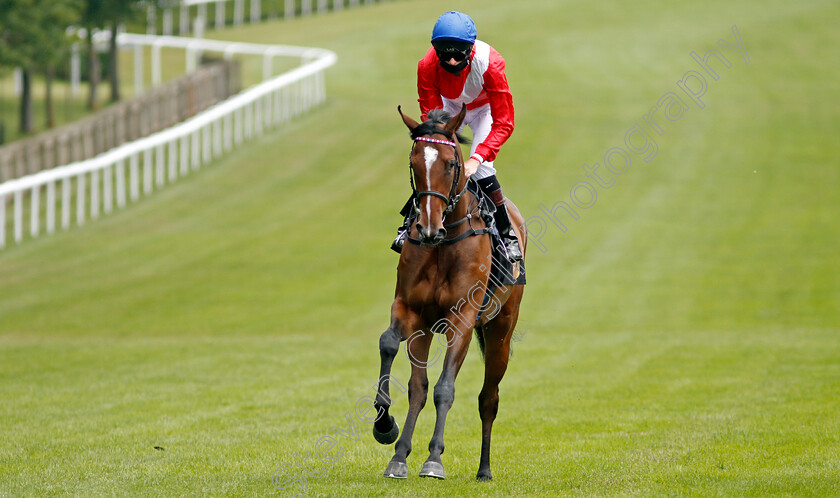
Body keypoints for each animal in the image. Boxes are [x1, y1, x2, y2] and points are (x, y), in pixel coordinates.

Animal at [372, 105, 524, 482]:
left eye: (451, 164)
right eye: (414, 163)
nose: (427, 227)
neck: (442, 243)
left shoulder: (462, 320)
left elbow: (445, 388)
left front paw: (434, 459)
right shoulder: (409, 308)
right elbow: (389, 344)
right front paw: (385, 426)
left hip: (501, 331)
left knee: (488, 398)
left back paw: (484, 469)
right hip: (427, 329)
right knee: (418, 388)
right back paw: (399, 454)